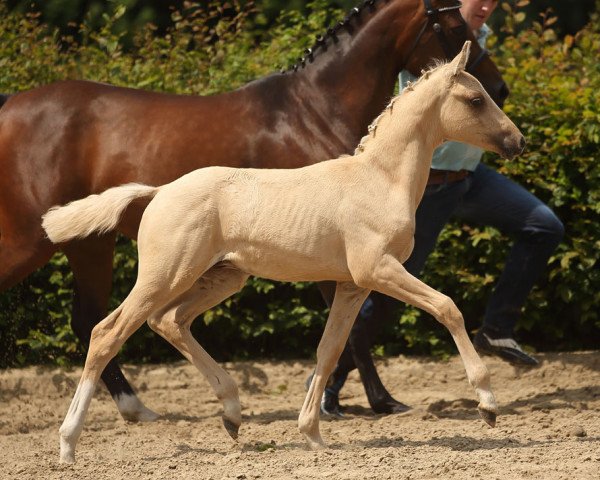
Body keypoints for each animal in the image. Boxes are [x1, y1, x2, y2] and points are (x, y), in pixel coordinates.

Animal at [0, 0, 508, 420]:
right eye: (454, 24)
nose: (515, 137)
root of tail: (158, 192)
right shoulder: (368, 268)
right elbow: (420, 315)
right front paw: (469, 402)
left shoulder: (350, 276)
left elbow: (337, 341)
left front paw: (333, 408)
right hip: (91, 255)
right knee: (105, 326)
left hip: (166, 264)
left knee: (137, 321)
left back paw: (206, 410)